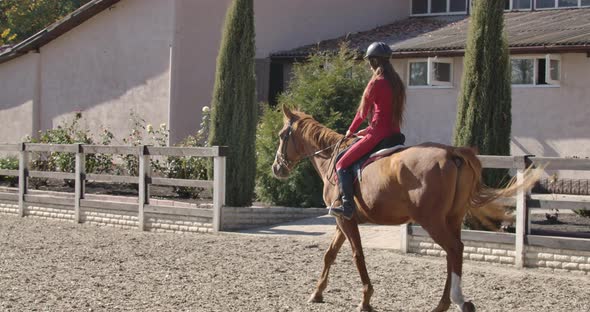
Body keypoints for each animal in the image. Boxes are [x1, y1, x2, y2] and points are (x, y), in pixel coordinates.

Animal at [272, 106, 540, 310]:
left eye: (282, 135)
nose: (277, 168)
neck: (332, 158)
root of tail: (452, 153)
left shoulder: (345, 220)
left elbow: (357, 255)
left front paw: (365, 299)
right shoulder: (344, 220)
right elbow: (330, 254)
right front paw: (317, 293)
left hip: (432, 221)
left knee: (453, 250)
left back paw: (456, 301)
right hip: (452, 219)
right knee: (454, 253)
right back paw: (443, 303)